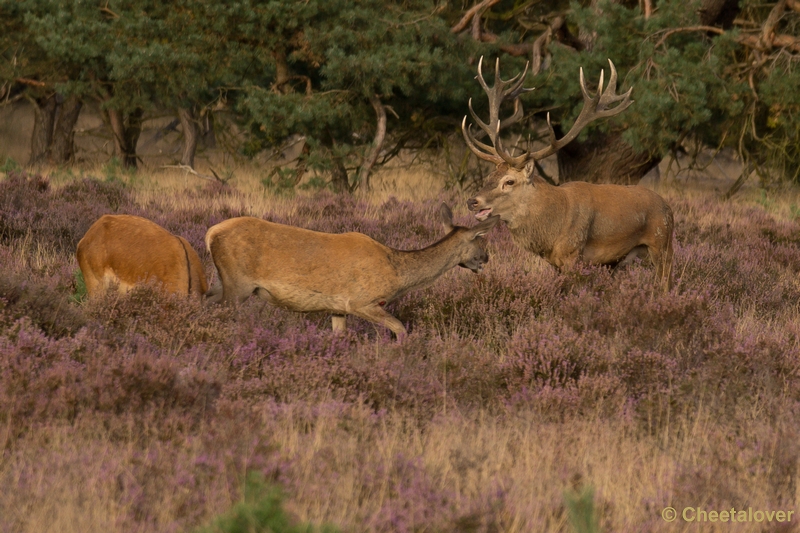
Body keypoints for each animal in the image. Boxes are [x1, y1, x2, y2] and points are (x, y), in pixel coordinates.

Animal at [203, 204, 496, 336]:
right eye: (480, 239)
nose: (486, 258)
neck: (397, 273)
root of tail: (210, 233)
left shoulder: (337, 307)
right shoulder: (360, 301)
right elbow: (400, 328)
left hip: (221, 281)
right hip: (238, 284)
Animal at [462, 57, 676, 290]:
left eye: (509, 181)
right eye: (489, 177)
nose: (472, 201)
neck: (552, 229)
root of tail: (668, 208)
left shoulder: (573, 253)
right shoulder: (554, 262)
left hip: (662, 244)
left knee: (666, 282)